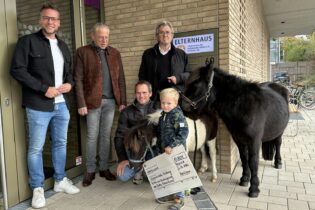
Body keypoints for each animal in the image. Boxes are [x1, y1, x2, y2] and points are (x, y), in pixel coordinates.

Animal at [181, 60, 290, 198]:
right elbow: (244, 158)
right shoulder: (238, 139)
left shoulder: (254, 141)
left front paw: (254, 188)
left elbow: (253, 162)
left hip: (280, 132)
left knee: (278, 143)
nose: (181, 105)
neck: (244, 106)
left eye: (195, 84)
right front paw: (244, 179)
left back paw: (278, 162)